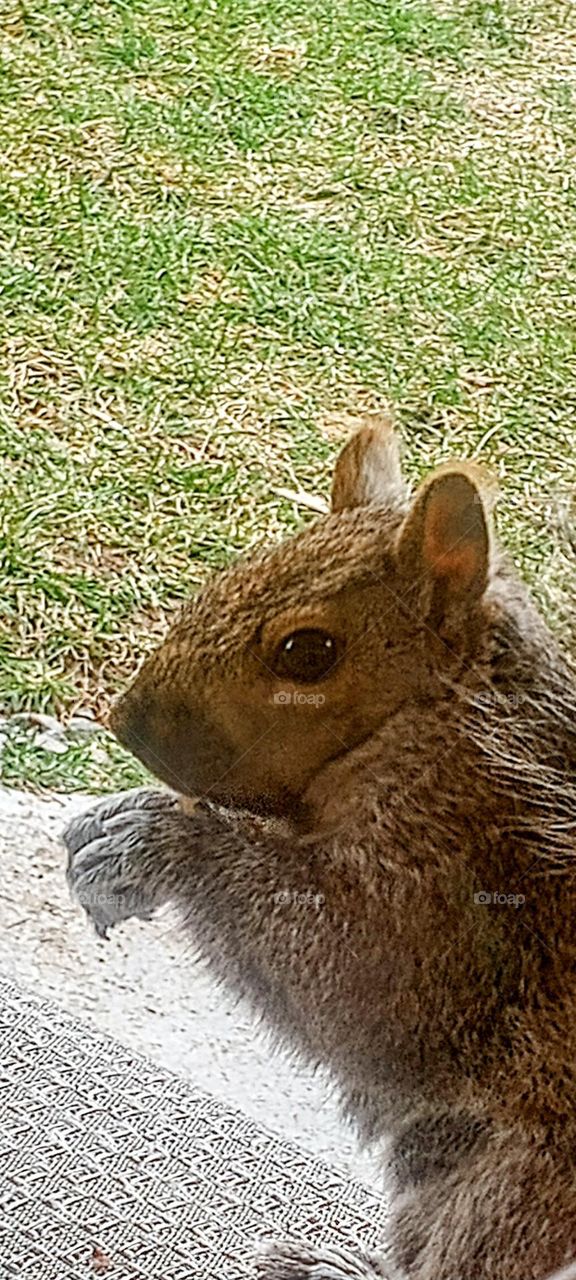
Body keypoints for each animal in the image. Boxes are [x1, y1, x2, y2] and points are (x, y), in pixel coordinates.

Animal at [64, 419, 576, 1280]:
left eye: (307, 653)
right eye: (236, 568)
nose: (125, 720)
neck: (433, 721)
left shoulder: (467, 885)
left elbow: (357, 983)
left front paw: (155, 840)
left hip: (518, 1177)